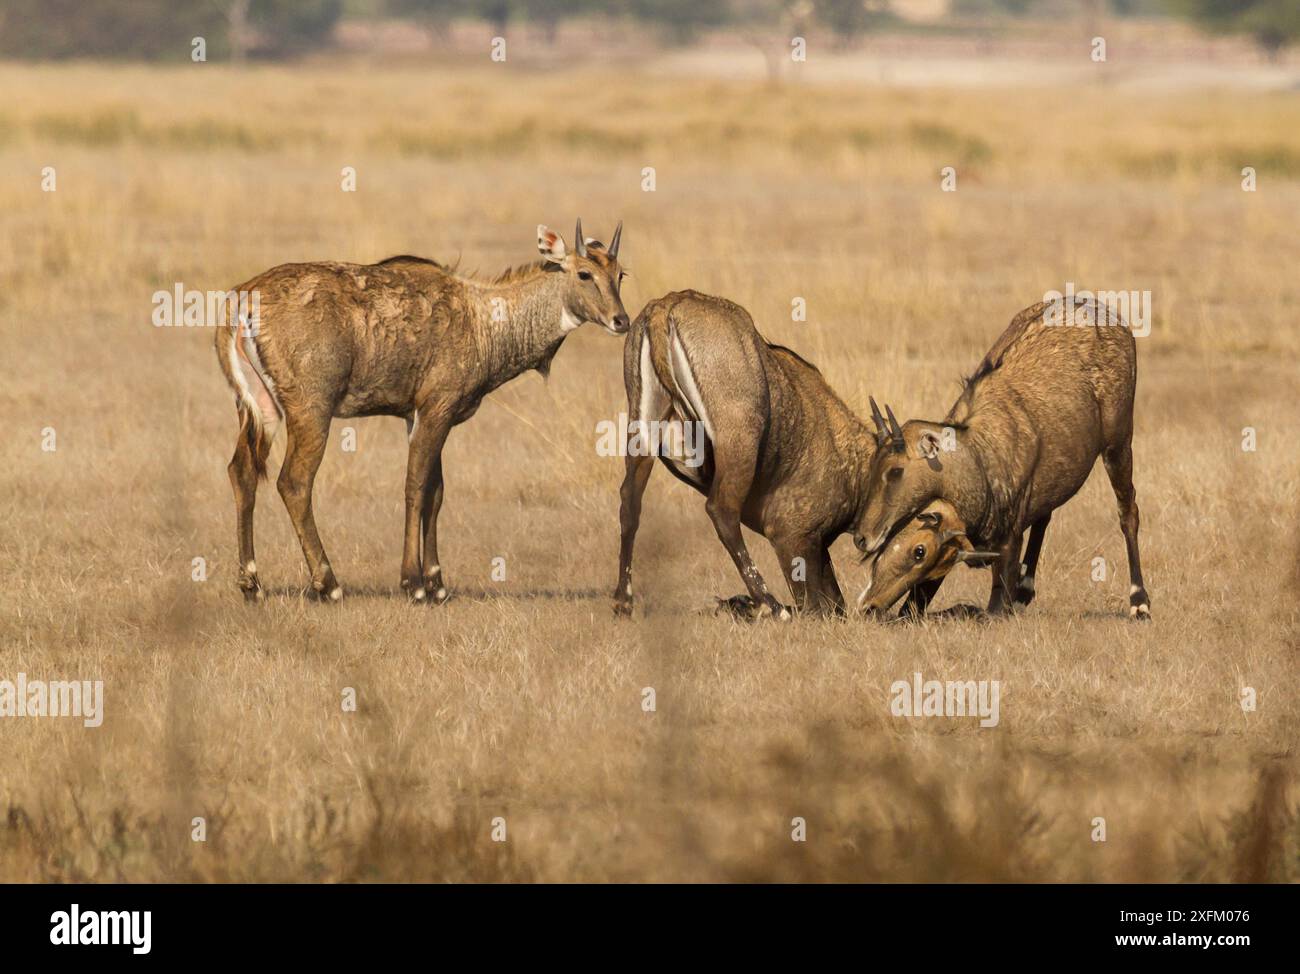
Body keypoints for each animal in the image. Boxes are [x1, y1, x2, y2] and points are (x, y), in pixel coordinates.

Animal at [214, 222, 629, 600]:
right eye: (584, 273)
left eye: (620, 274)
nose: (621, 320)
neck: (485, 320)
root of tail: (241, 301)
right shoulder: (437, 408)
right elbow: (415, 486)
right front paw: (413, 583)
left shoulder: (421, 414)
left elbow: (436, 491)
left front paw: (437, 583)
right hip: (311, 409)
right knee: (295, 483)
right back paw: (328, 584)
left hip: (257, 407)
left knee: (242, 471)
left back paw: (252, 584)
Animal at [611, 292, 883, 618]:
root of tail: (666, 307)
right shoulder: (792, 537)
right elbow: (820, 606)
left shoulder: (817, 544)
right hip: (738, 441)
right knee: (721, 511)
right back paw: (769, 605)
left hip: (643, 431)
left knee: (630, 502)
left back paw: (623, 601)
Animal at [857, 292, 1154, 618]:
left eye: (896, 470)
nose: (862, 537)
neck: (979, 458)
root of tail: (1106, 314)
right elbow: (911, 610)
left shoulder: (1007, 542)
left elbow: (993, 608)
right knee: (1045, 516)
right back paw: (1025, 589)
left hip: (1118, 445)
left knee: (1128, 511)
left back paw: (1139, 602)